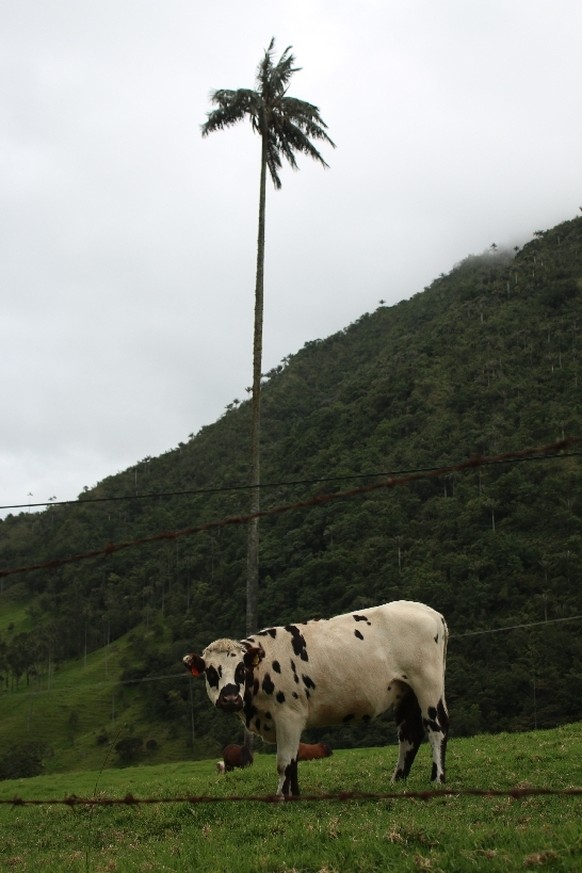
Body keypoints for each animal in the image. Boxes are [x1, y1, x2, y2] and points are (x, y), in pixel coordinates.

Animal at [184, 600, 452, 796]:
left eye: (241, 669)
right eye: (210, 671)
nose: (230, 698)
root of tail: (431, 612)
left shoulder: (289, 716)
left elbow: (284, 762)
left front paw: (281, 798)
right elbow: (293, 761)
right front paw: (295, 795)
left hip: (428, 683)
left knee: (436, 726)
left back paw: (437, 779)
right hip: (405, 691)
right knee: (409, 734)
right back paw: (396, 781)